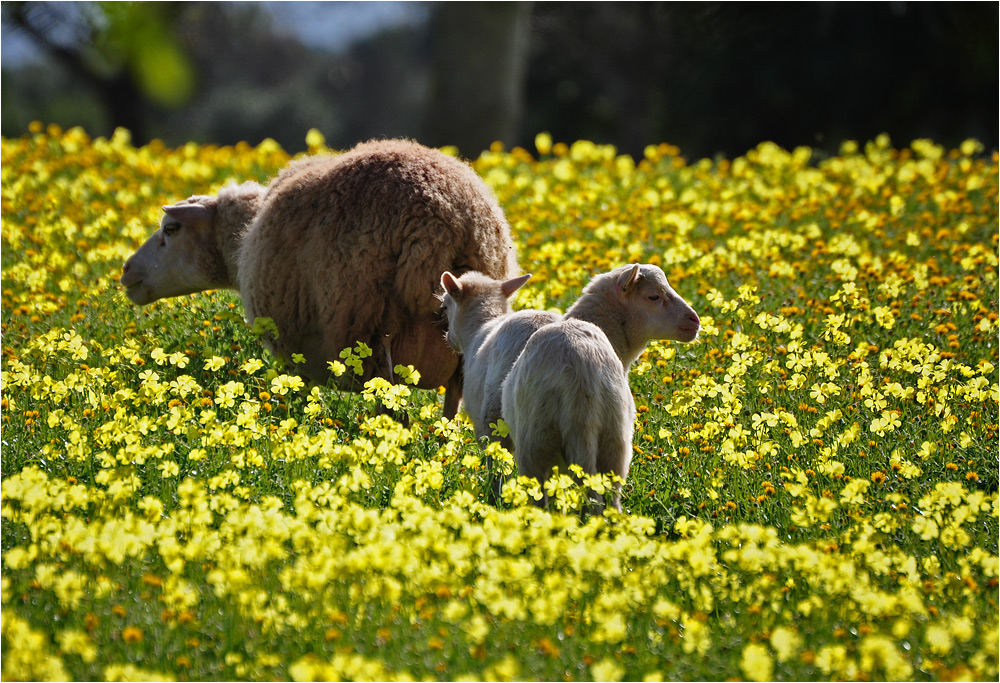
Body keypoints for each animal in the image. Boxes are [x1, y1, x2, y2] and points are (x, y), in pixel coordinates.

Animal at [121, 139, 520, 416]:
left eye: (170, 229)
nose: (127, 272)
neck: (241, 240)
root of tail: (446, 218)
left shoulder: (289, 346)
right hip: (459, 342)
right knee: (448, 420)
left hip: (372, 327)